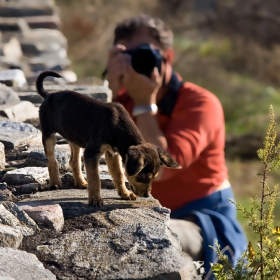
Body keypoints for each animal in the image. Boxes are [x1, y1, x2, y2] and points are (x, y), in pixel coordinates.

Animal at [36, 70, 180, 206]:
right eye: (143, 178)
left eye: (154, 178)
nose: (147, 195)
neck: (118, 126)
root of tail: (49, 95)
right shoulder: (92, 153)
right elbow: (95, 178)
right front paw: (95, 199)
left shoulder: (112, 153)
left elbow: (119, 175)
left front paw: (125, 194)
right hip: (48, 134)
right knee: (52, 160)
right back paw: (55, 183)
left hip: (74, 136)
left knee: (74, 161)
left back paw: (81, 182)